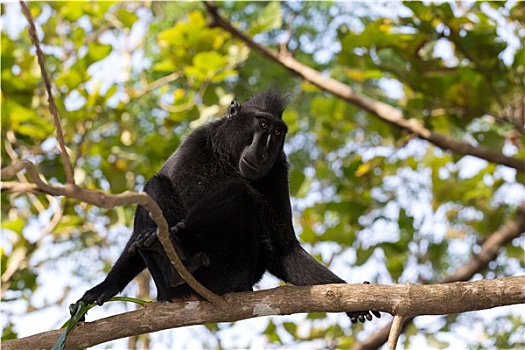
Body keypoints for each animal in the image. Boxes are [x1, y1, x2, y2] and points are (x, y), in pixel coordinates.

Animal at [72, 90, 376, 322]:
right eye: (262, 126)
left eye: (278, 132)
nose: (264, 152)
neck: (229, 161)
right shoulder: (195, 142)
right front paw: (102, 289)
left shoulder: (279, 168)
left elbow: (283, 249)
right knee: (156, 185)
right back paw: (171, 259)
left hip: (233, 275)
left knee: (236, 193)